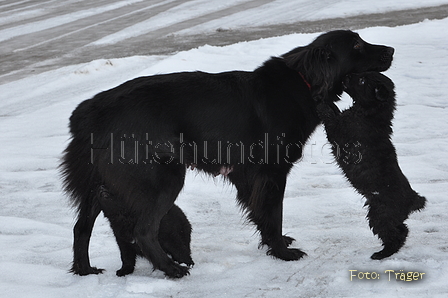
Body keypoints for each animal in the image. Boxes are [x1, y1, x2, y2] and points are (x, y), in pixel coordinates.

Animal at [61, 29, 394, 278]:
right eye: (356, 45)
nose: (391, 50)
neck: (305, 81)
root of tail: (91, 111)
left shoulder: (247, 177)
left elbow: (262, 215)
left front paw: (273, 245)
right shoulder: (271, 173)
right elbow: (273, 215)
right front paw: (282, 253)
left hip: (99, 186)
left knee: (80, 228)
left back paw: (85, 270)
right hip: (164, 179)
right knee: (143, 231)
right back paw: (171, 269)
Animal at [316, 71, 426, 258]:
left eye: (362, 81)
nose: (345, 75)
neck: (369, 114)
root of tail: (413, 199)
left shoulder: (339, 131)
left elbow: (329, 114)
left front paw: (320, 100)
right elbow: (334, 109)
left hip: (380, 215)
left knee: (394, 235)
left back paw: (382, 254)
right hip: (386, 216)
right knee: (402, 230)